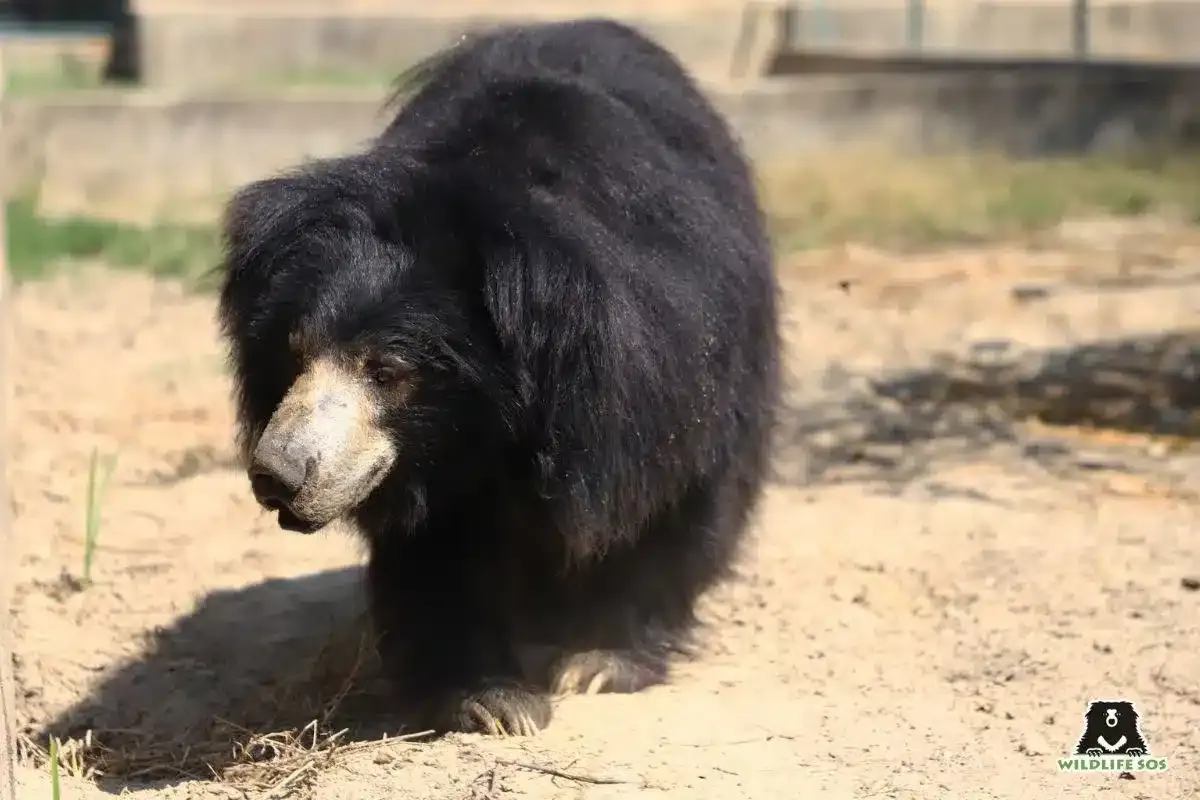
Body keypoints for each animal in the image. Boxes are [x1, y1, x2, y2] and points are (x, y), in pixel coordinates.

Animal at [215, 17, 782, 737]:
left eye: (388, 370)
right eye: (294, 351)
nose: (277, 476)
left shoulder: (679, 366)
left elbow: (670, 501)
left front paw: (600, 663)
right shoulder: (431, 467)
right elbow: (438, 552)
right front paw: (489, 698)